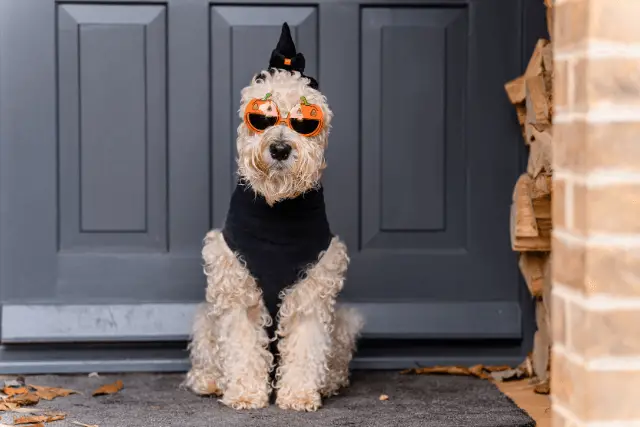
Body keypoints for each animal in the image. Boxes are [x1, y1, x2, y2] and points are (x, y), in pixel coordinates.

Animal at [185, 22, 364, 412]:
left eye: (305, 122)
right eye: (262, 115)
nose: (280, 148)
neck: (277, 211)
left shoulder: (312, 290)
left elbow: (307, 347)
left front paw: (298, 394)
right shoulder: (236, 290)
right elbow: (241, 346)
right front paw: (245, 392)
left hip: (343, 321)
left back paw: (330, 382)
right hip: (206, 317)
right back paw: (209, 381)